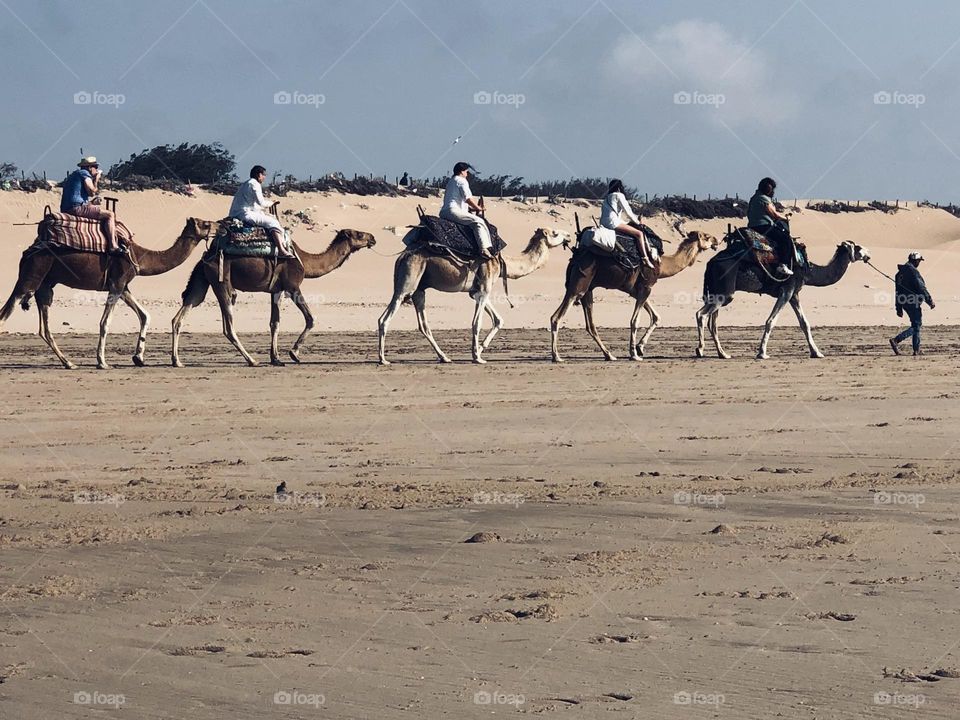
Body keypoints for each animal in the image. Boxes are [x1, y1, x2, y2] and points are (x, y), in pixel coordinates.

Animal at [0, 217, 212, 368]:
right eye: (206, 224)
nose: (219, 225)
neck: (140, 257)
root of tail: (27, 252)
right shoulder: (117, 284)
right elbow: (105, 322)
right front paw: (102, 361)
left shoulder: (122, 286)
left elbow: (144, 315)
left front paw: (138, 357)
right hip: (30, 278)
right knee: (5, 314)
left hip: (44, 286)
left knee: (43, 327)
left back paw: (69, 363)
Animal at [172, 229, 376, 366]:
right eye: (359, 234)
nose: (373, 238)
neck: (305, 261)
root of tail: (205, 257)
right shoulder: (293, 286)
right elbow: (310, 318)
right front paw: (294, 353)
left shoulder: (276, 291)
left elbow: (274, 323)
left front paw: (276, 358)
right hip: (221, 282)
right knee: (228, 326)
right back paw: (252, 360)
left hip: (202, 281)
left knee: (182, 314)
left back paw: (177, 361)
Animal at [376, 226, 568, 366]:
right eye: (555, 232)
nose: (568, 235)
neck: (502, 263)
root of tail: (402, 257)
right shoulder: (484, 288)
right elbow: (477, 323)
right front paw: (477, 357)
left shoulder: (476, 291)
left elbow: (498, 320)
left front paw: (480, 349)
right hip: (407, 284)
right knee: (385, 319)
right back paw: (383, 359)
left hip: (419, 290)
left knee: (423, 325)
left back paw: (444, 357)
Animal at [548, 233, 720, 362]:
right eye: (707, 236)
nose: (717, 240)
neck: (661, 265)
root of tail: (574, 259)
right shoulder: (646, 287)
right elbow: (635, 321)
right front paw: (634, 354)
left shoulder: (636, 290)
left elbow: (656, 317)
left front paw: (640, 347)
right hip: (579, 285)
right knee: (557, 317)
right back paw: (557, 357)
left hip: (587, 290)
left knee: (589, 324)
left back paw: (609, 355)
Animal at [696, 240, 872, 360]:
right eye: (858, 247)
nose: (869, 254)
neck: (808, 270)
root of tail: (710, 263)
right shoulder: (786, 290)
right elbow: (771, 321)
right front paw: (762, 353)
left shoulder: (794, 294)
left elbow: (804, 323)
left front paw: (817, 353)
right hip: (725, 292)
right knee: (701, 315)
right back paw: (700, 350)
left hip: (717, 292)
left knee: (713, 322)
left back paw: (723, 354)